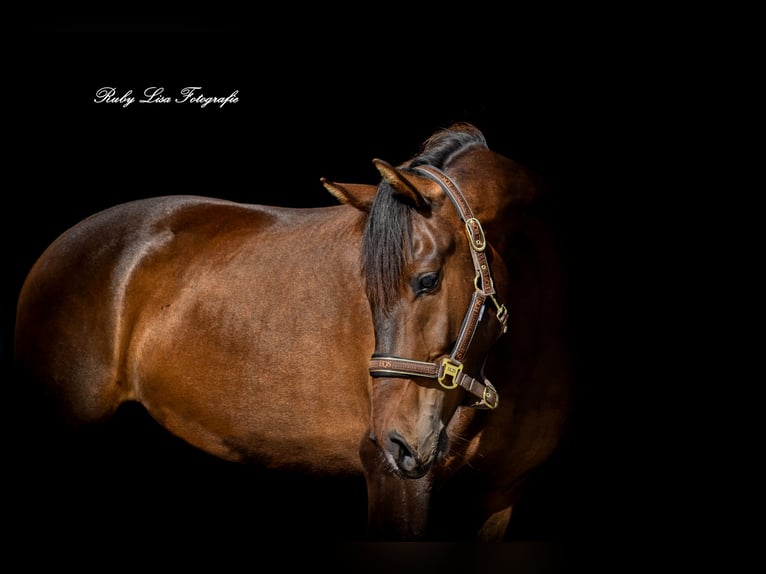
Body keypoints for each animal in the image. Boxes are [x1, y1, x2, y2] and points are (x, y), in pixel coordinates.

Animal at [13, 123, 571, 540]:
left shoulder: (500, 498)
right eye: (368, 291)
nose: (398, 442)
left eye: (428, 280)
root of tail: (59, 248)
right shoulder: (399, 485)